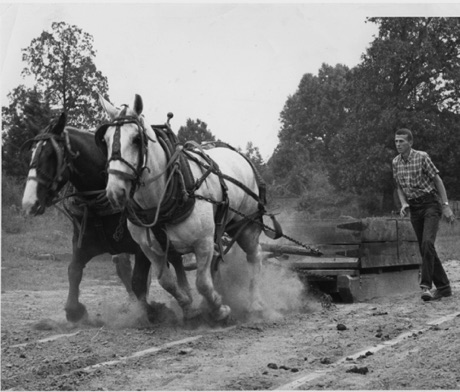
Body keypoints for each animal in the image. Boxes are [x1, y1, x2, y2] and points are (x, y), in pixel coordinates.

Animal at [20, 112, 184, 324]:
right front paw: (75, 311)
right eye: (31, 153)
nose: (28, 203)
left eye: (50, 155)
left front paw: (151, 310)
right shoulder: (83, 243)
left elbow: (138, 279)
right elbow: (74, 271)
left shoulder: (142, 247)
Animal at [95, 93, 282, 324]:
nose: (115, 192)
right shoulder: (149, 249)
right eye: (105, 140)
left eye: (136, 139)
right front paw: (190, 309)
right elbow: (167, 281)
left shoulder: (203, 242)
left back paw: (255, 304)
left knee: (254, 256)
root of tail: (238, 154)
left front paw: (220, 309)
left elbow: (202, 282)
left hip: (246, 225)